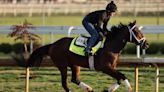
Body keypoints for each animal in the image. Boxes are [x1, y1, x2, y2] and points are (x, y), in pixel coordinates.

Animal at [15, 20, 149, 91]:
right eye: (136, 31)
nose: (146, 44)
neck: (110, 47)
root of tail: (53, 44)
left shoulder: (111, 68)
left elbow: (119, 78)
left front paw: (108, 89)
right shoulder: (105, 68)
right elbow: (122, 76)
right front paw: (129, 87)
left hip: (75, 65)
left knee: (75, 79)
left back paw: (89, 89)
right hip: (62, 65)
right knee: (65, 83)